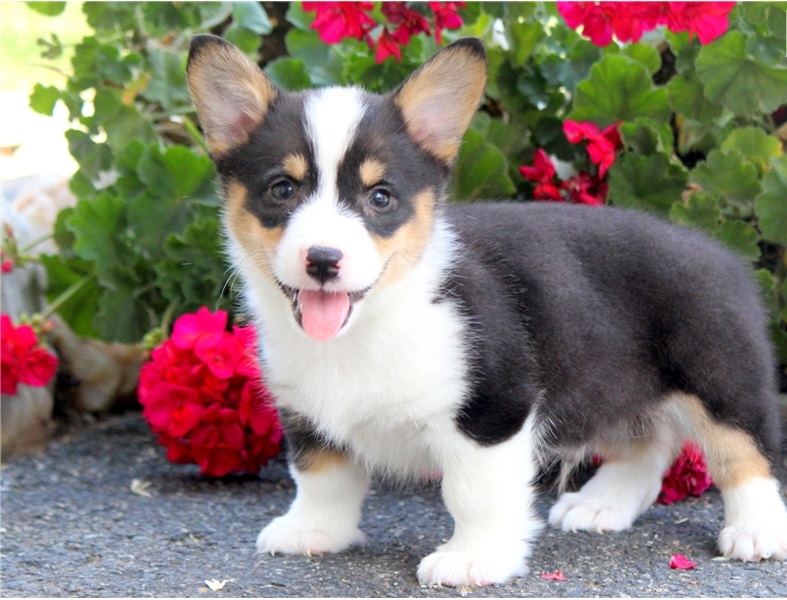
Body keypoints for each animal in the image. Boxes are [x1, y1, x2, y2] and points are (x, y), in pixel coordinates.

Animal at [186, 36, 787, 584]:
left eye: (380, 197)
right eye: (282, 190)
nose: (323, 260)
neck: (371, 323)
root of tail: (721, 254)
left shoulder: (492, 411)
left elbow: (476, 493)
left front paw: (473, 560)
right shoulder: (306, 413)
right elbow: (320, 476)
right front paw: (313, 531)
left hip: (719, 377)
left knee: (747, 452)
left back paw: (756, 531)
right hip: (613, 382)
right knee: (646, 445)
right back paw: (601, 505)